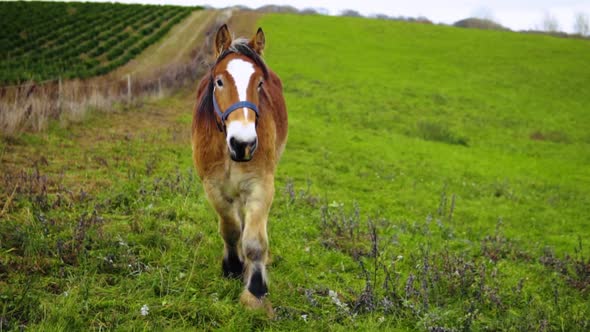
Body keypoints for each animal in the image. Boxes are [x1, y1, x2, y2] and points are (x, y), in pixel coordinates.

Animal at [192, 24, 290, 312]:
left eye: (259, 83)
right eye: (219, 81)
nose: (243, 143)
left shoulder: (261, 185)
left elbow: (254, 241)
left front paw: (255, 290)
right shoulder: (213, 187)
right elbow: (231, 228)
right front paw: (233, 267)